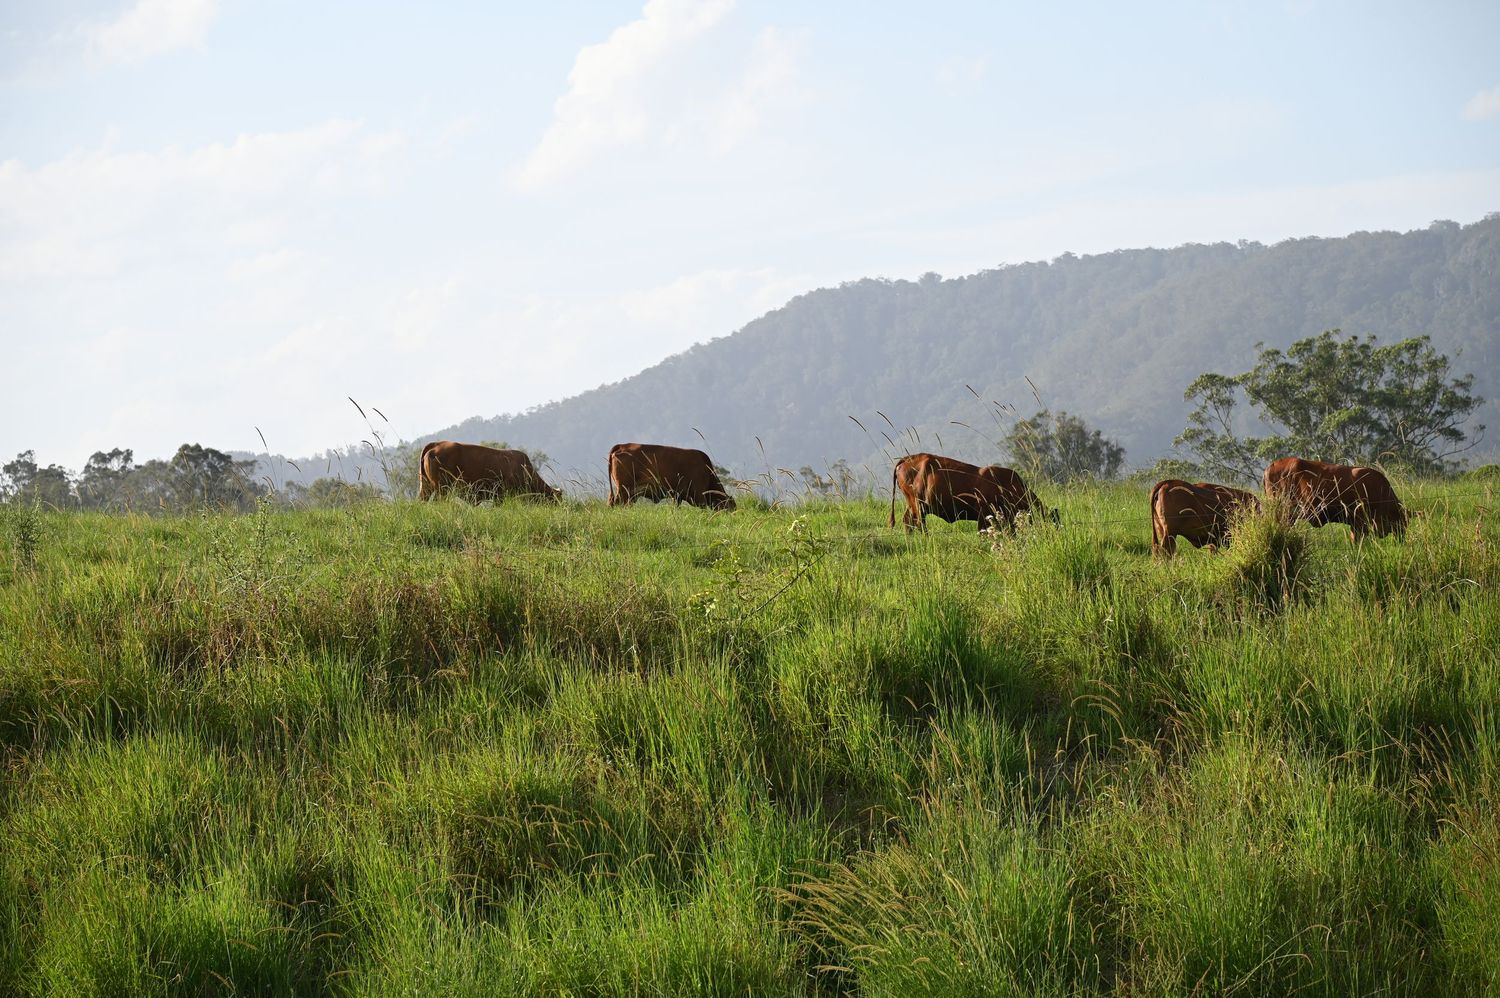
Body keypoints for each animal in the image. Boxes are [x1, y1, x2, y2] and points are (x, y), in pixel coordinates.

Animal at [889, 453, 1056, 533]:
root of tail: (907, 458)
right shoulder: (984, 516)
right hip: (918, 505)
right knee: (919, 523)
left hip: (912, 504)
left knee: (907, 521)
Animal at [1262, 456, 1407, 541]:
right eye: (1402, 523)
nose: (1401, 540)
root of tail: (1271, 466)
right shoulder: (1360, 523)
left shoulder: (1355, 524)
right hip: (1284, 513)